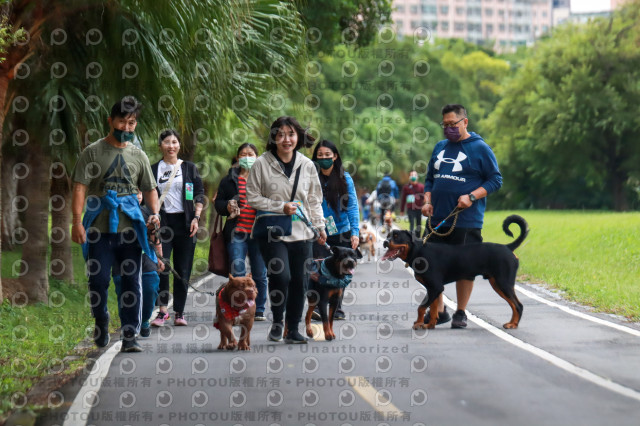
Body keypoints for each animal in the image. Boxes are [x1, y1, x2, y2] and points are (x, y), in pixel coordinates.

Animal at [382, 216, 528, 330]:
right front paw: (430, 325)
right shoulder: (433, 289)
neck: (418, 252)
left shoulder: (435, 287)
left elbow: (421, 307)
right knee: (514, 305)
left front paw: (418, 324)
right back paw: (512, 323)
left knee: (518, 305)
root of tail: (508, 247)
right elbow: (433, 309)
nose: (385, 242)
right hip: (497, 283)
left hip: (503, 282)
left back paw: (513, 325)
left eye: (396, 236)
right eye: (388, 235)